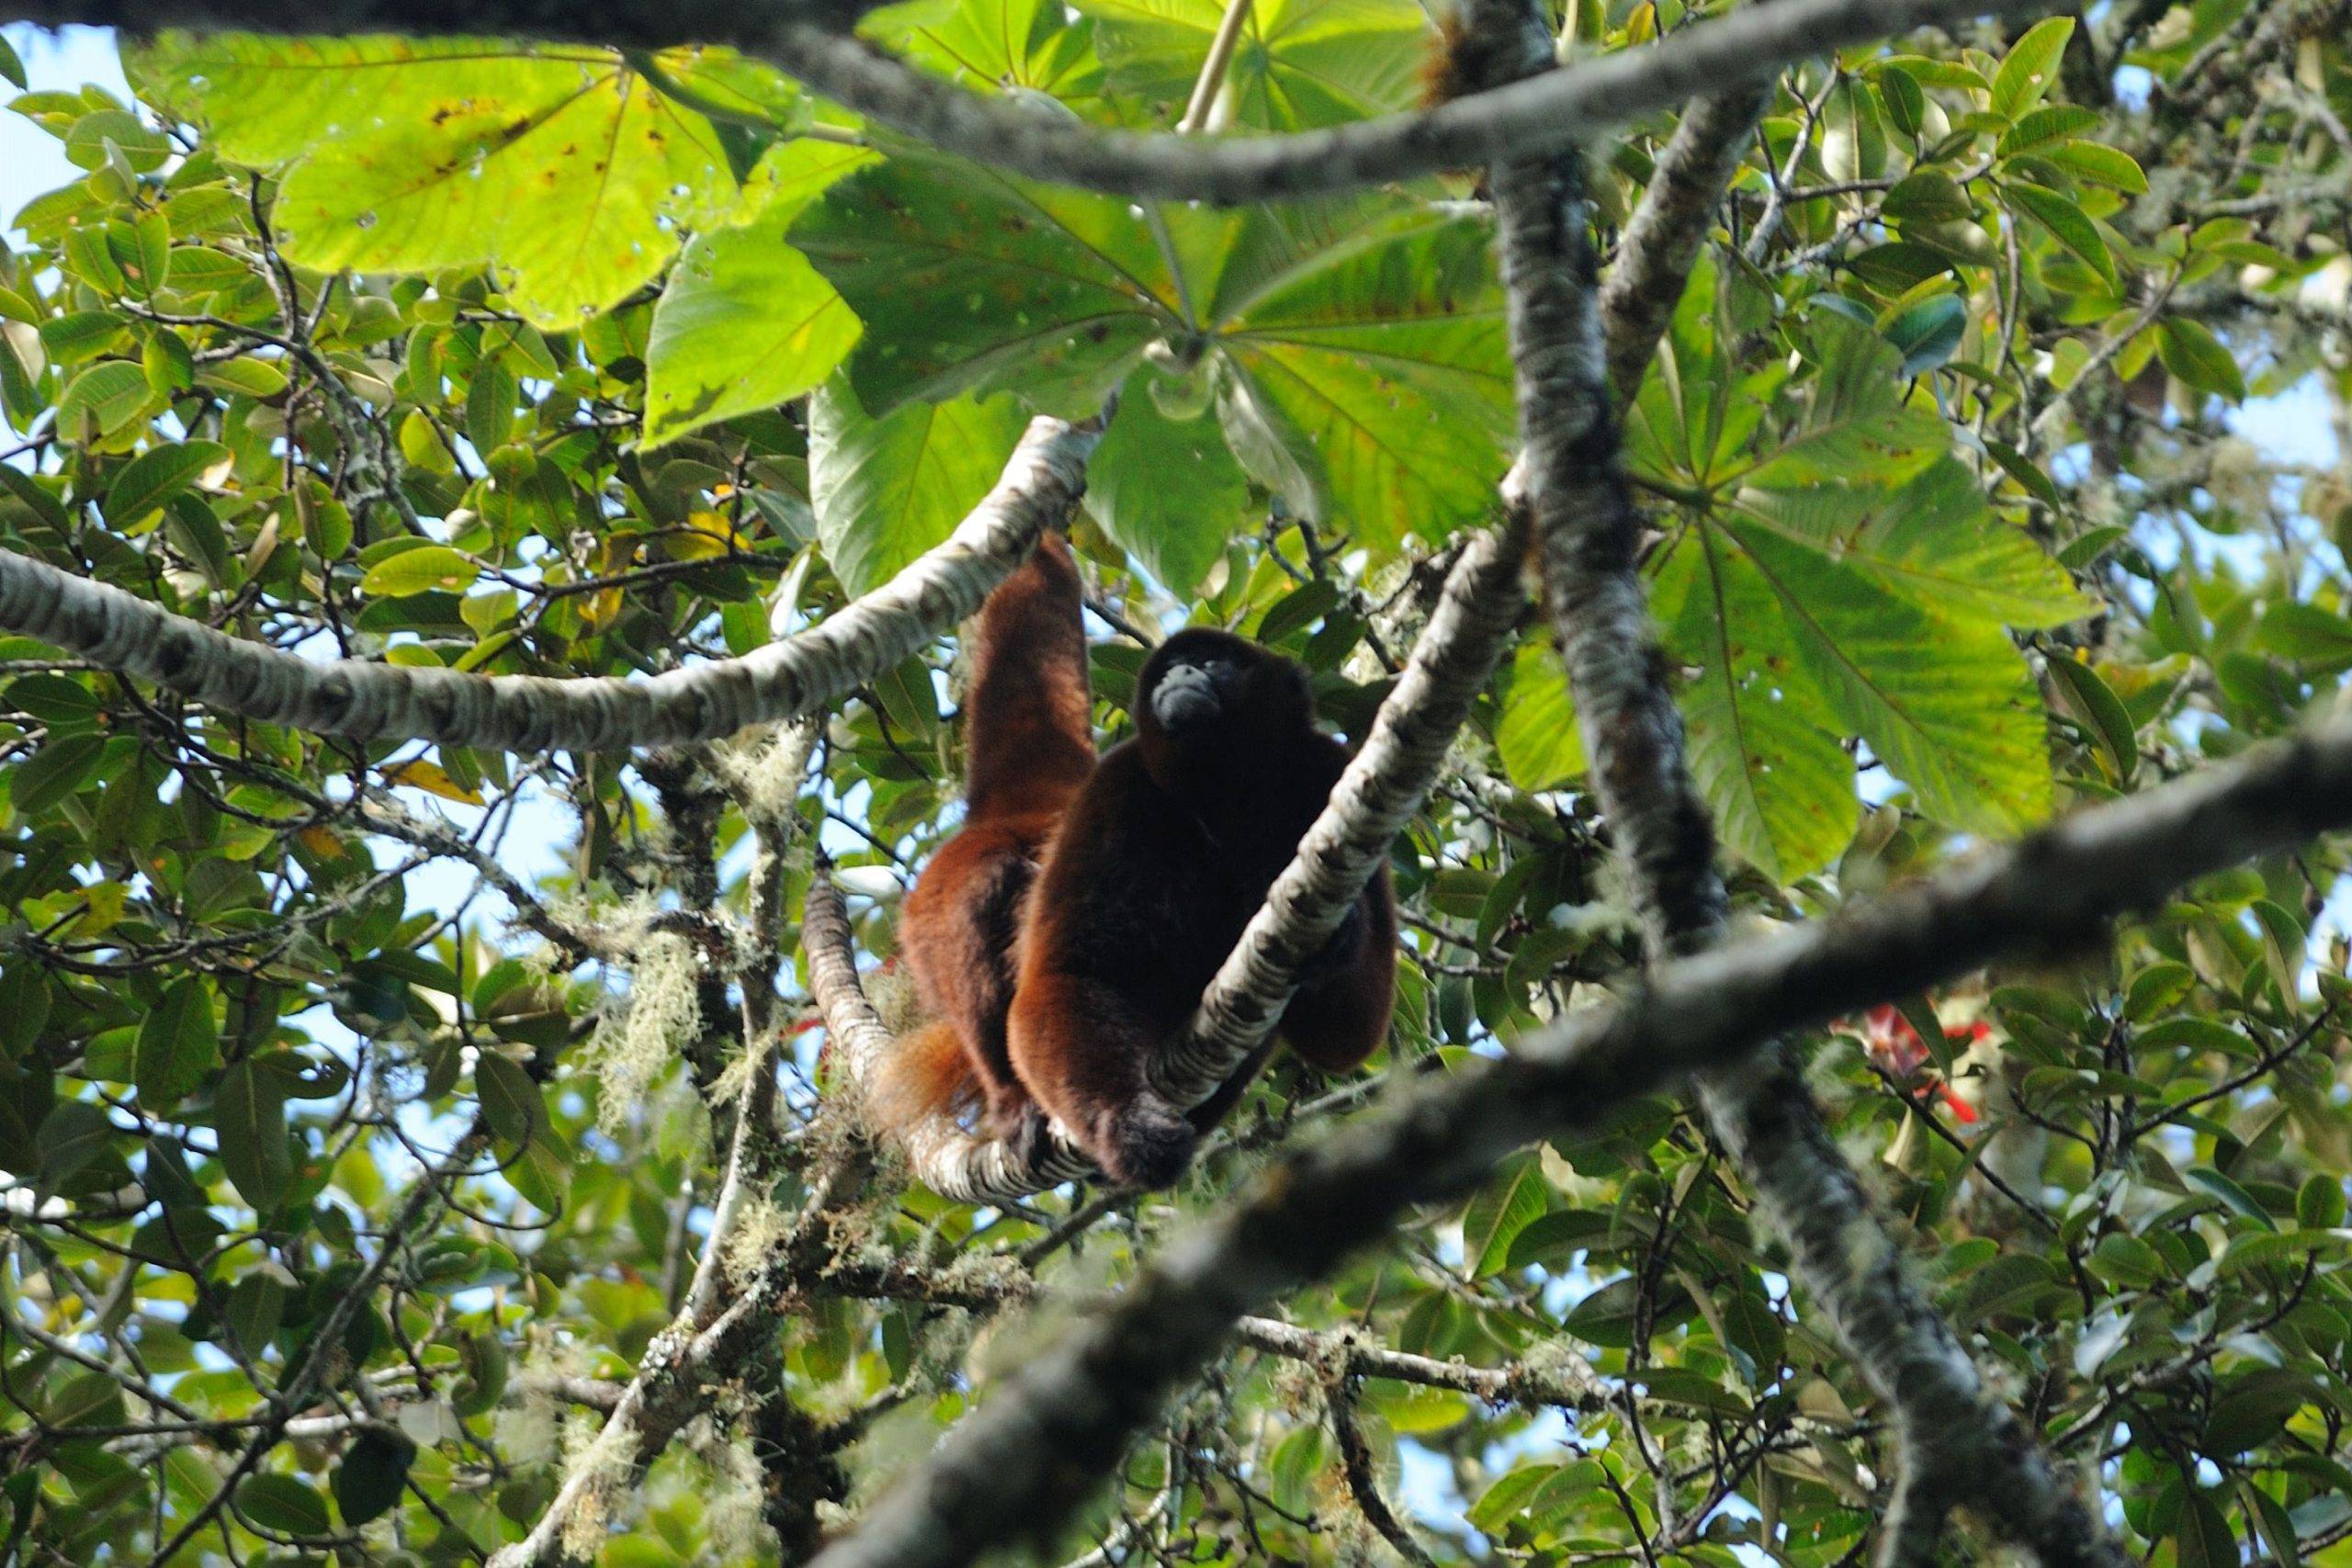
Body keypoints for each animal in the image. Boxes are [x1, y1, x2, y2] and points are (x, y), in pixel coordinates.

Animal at [1005, 628, 1398, 1189]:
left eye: (1212, 662)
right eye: (1169, 668)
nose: (1177, 674)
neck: (1226, 792)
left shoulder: (1333, 773)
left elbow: (1349, 1034)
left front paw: (1340, 932)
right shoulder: (1117, 784)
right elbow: (1069, 972)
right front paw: (1128, 1125)